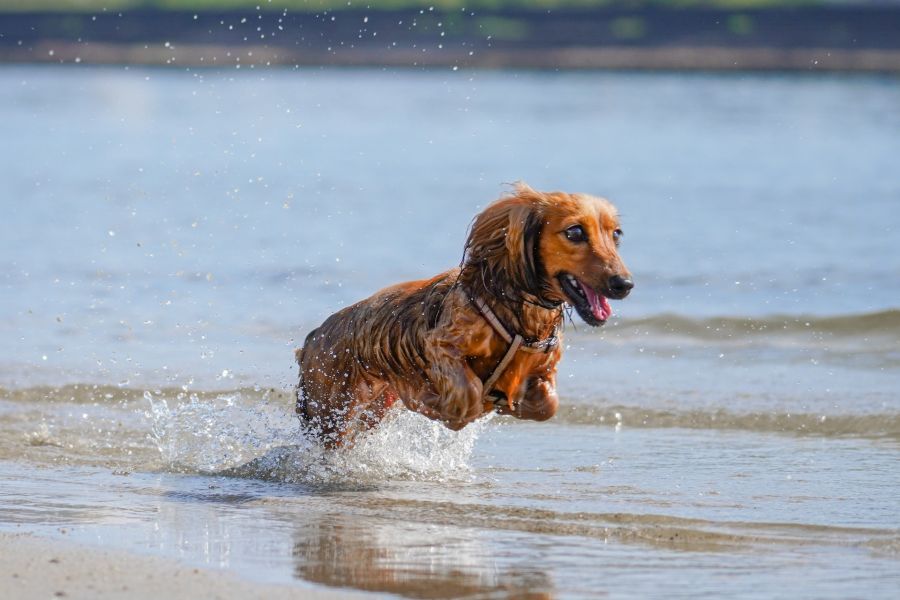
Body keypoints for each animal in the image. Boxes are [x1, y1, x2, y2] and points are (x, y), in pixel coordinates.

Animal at [296, 183, 632, 446]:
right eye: (574, 232)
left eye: (616, 234)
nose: (624, 284)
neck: (521, 314)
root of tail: (313, 336)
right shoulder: (442, 345)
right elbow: (467, 396)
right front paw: (439, 404)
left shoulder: (544, 370)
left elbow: (548, 404)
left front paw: (512, 405)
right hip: (330, 414)